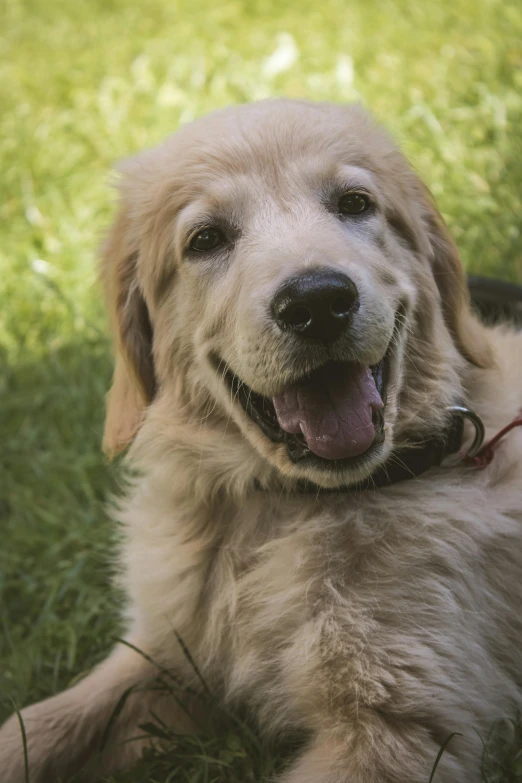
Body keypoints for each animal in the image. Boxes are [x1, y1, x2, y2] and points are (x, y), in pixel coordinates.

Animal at [1, 99, 520, 783]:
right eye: (206, 239)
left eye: (354, 203)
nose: (318, 302)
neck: (282, 509)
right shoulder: (165, 655)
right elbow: (36, 727)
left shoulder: (397, 733)